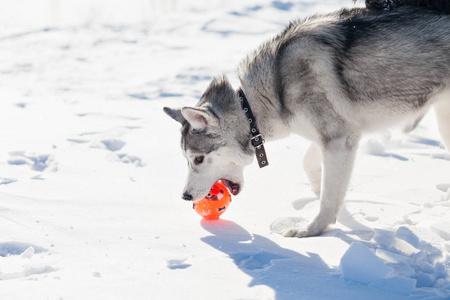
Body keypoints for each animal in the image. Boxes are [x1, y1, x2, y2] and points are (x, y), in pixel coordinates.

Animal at [164, 5, 450, 238]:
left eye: (198, 159)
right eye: (187, 159)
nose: (185, 196)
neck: (269, 95)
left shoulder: (339, 140)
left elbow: (327, 198)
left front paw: (313, 230)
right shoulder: (333, 135)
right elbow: (311, 165)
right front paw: (317, 187)